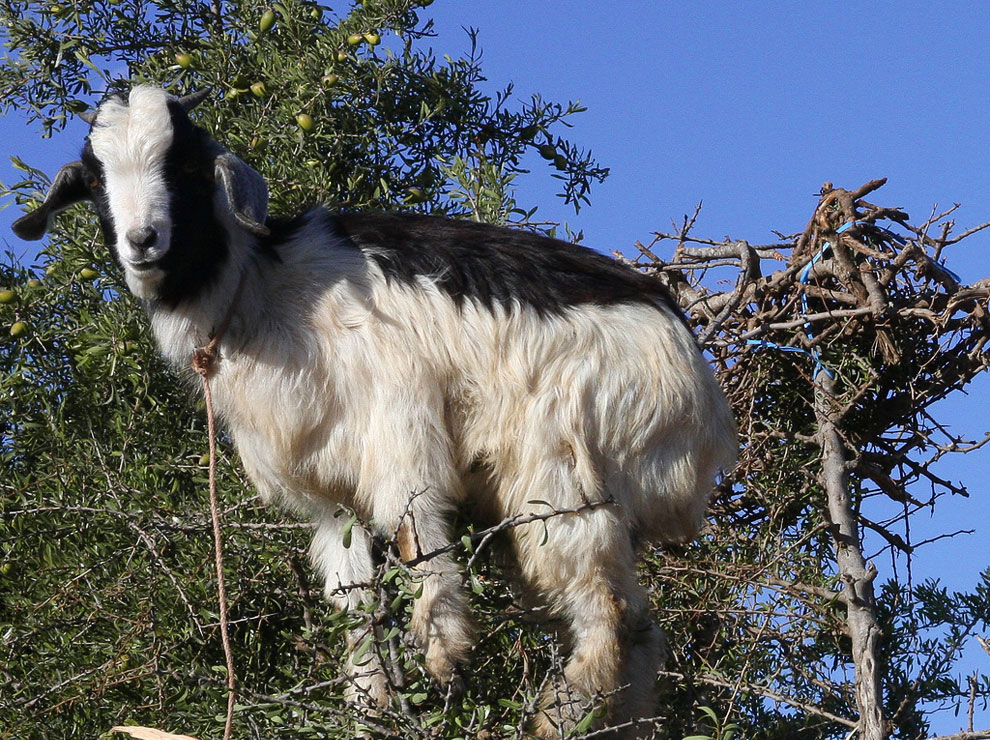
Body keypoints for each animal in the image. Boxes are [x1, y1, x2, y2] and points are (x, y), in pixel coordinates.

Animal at [11, 84, 740, 736]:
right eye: (95, 178)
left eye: (184, 166)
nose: (143, 240)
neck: (263, 293)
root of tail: (705, 403)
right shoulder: (331, 496)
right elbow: (354, 601)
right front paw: (371, 709)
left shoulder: (398, 423)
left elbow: (417, 534)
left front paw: (444, 660)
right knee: (639, 634)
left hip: (563, 463)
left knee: (608, 614)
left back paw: (555, 719)